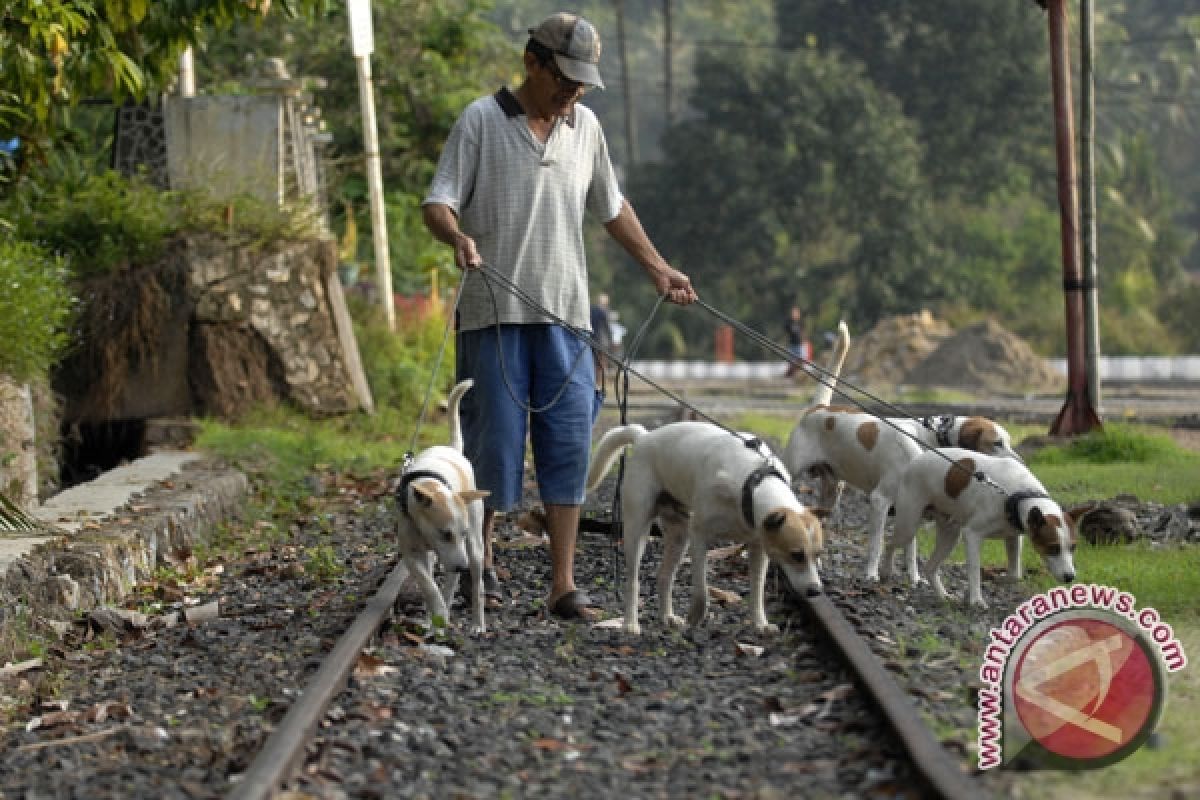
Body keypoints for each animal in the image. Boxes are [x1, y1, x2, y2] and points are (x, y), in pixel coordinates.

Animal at [391, 381, 489, 633]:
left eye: (462, 533)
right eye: (444, 533)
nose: (463, 567)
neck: (430, 484)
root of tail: (453, 449)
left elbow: (439, 585)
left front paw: (441, 613)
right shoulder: (412, 554)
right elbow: (428, 585)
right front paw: (436, 613)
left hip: (474, 548)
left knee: (475, 585)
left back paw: (477, 623)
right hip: (443, 556)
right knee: (447, 578)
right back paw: (435, 618)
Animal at [585, 419, 830, 638]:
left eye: (818, 555)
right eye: (796, 555)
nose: (815, 591)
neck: (752, 484)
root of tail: (644, 436)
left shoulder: (759, 546)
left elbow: (757, 589)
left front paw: (760, 623)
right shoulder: (699, 535)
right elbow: (702, 592)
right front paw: (695, 617)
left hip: (679, 536)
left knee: (664, 576)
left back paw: (667, 617)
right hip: (638, 529)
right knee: (633, 581)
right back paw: (630, 624)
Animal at [782, 321, 1027, 585]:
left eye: (1008, 441)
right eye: (997, 443)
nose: (1022, 462)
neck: (928, 439)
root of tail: (819, 408)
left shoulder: (911, 506)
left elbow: (910, 548)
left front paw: (915, 578)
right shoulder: (880, 500)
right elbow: (877, 544)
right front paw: (871, 574)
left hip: (832, 491)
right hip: (791, 472)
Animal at [883, 448, 1080, 609]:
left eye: (1073, 547)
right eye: (1052, 548)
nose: (1070, 577)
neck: (1016, 495)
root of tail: (915, 460)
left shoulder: (1013, 537)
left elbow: (1015, 575)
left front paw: (992, 583)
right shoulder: (972, 535)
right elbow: (975, 569)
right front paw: (976, 599)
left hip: (950, 535)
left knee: (930, 567)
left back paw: (942, 595)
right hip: (908, 526)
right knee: (889, 544)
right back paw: (886, 570)